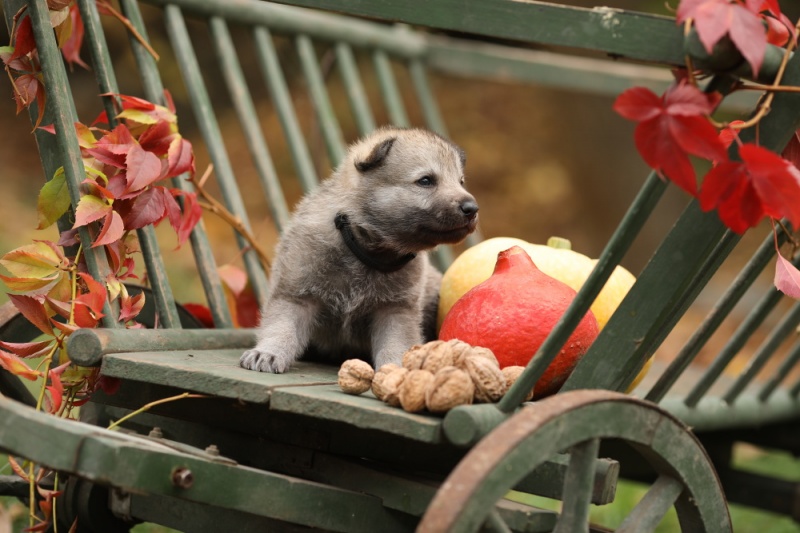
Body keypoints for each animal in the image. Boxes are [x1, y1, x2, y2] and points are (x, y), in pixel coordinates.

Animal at [238, 126, 476, 372]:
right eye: (426, 180)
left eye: (460, 181)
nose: (472, 208)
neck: (362, 247)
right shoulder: (295, 294)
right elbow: (282, 328)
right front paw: (268, 352)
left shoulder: (395, 310)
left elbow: (395, 342)